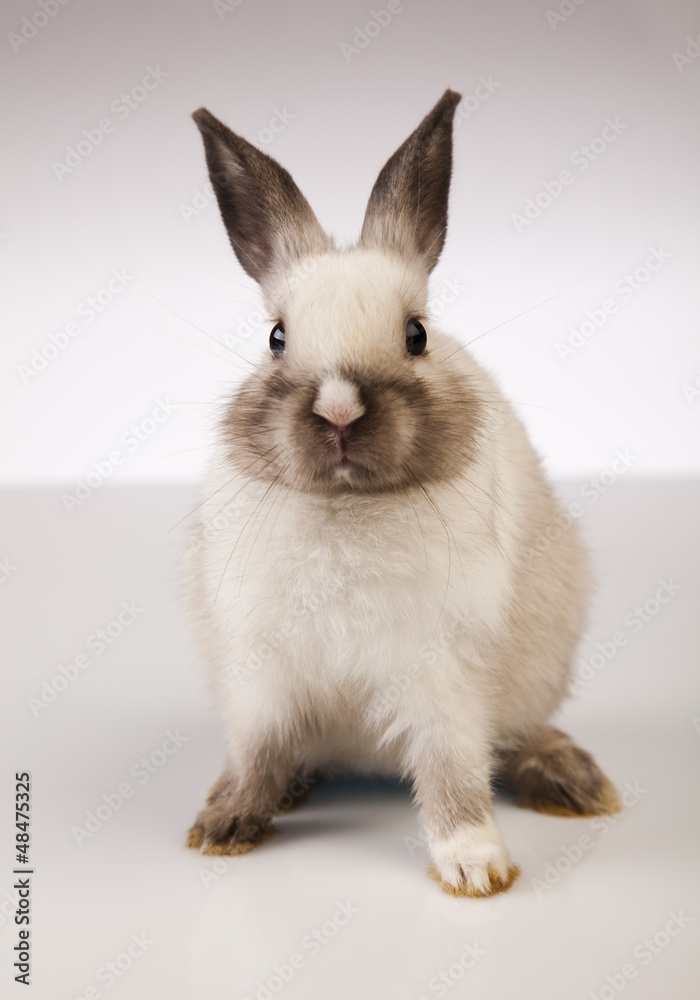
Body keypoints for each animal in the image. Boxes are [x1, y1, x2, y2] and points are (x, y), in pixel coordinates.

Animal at [184, 89, 621, 897]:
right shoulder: (260, 676)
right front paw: (225, 824)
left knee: (517, 735)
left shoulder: (440, 670)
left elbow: (453, 770)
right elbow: (257, 750)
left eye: (416, 335)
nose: (339, 413)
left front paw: (476, 866)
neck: (349, 507)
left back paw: (570, 779)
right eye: (276, 339)